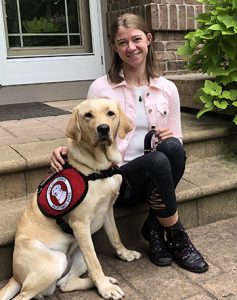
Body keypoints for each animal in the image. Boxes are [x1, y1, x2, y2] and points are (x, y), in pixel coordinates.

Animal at [0, 99, 141, 300]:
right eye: (88, 115)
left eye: (111, 113)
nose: (103, 128)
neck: (99, 169)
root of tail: (15, 276)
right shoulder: (79, 224)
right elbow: (95, 263)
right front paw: (105, 289)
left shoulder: (106, 210)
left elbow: (115, 236)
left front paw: (125, 254)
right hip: (55, 261)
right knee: (25, 295)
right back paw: (104, 283)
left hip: (79, 251)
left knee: (66, 284)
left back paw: (102, 280)